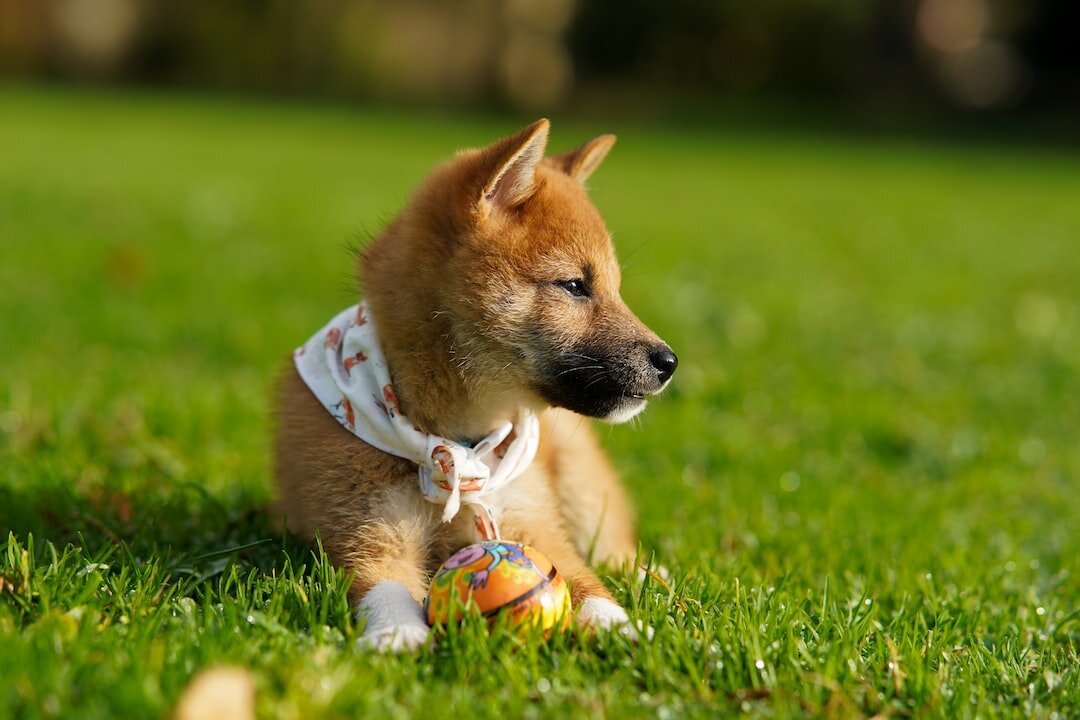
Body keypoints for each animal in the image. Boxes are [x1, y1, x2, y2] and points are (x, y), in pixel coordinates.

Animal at [276, 119, 673, 651]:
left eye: (616, 289)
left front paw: (622, 628)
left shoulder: (534, 524)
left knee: (617, 553)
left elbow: (587, 583)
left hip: (584, 495)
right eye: (574, 286)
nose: (669, 361)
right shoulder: (371, 531)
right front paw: (397, 634)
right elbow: (384, 587)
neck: (457, 442)